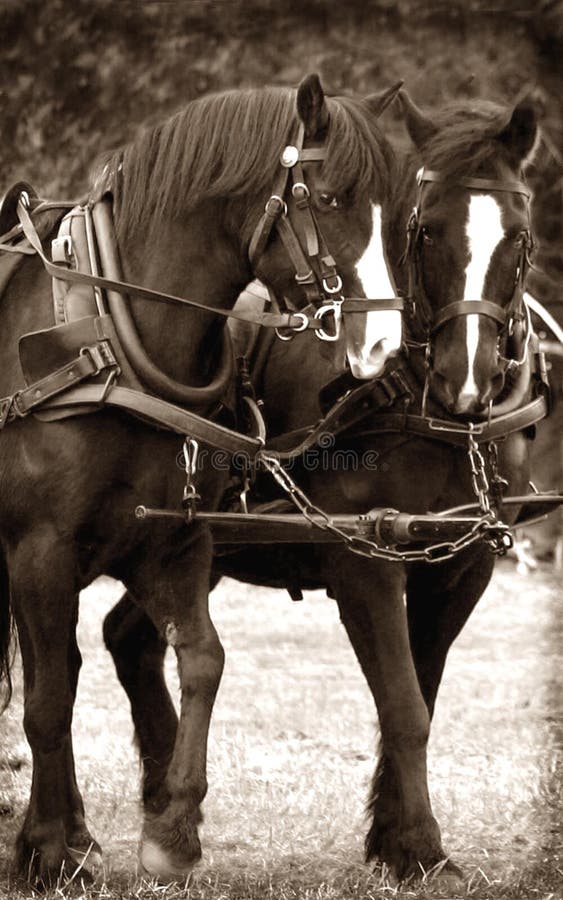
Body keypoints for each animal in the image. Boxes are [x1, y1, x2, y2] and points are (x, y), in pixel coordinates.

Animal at [0, 74, 408, 884]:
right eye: (332, 197)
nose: (384, 344)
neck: (110, 337)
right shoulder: (39, 549)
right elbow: (48, 698)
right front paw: (49, 849)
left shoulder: (174, 544)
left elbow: (202, 661)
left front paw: (173, 831)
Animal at [102, 88, 545, 883]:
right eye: (422, 231)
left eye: (518, 238)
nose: (464, 379)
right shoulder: (363, 563)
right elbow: (404, 707)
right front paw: (419, 843)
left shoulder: (460, 566)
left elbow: (421, 695)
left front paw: (396, 840)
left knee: (129, 639)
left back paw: (161, 800)